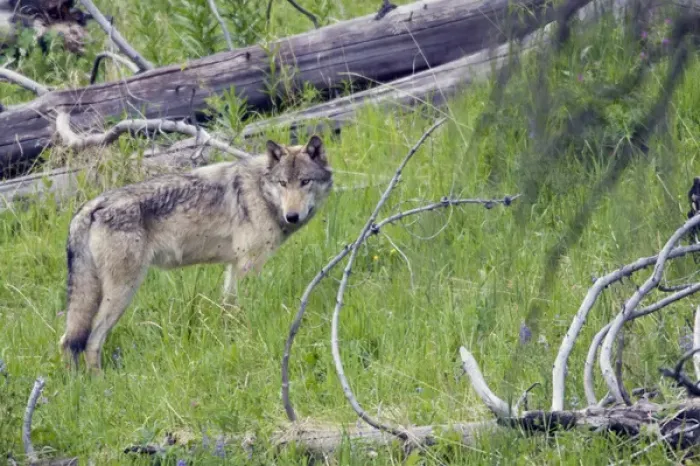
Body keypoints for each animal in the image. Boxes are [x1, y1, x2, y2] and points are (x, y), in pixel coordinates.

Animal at [59, 135, 333, 371]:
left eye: (305, 182)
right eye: (283, 183)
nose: (292, 216)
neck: (261, 191)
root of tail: (91, 206)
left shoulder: (235, 265)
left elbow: (228, 308)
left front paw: (231, 337)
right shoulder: (250, 263)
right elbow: (248, 305)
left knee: (67, 341)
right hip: (123, 291)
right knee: (91, 340)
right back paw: (99, 383)